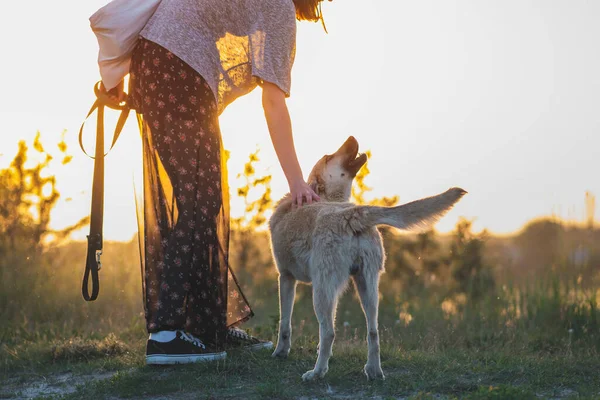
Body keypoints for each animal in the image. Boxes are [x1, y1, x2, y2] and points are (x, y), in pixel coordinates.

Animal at [268, 136, 468, 380]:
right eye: (329, 157)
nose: (352, 137)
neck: (327, 198)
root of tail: (352, 213)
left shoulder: (286, 278)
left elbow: (284, 324)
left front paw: (280, 352)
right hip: (368, 287)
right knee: (373, 332)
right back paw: (373, 370)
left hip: (322, 292)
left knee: (329, 332)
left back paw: (317, 372)